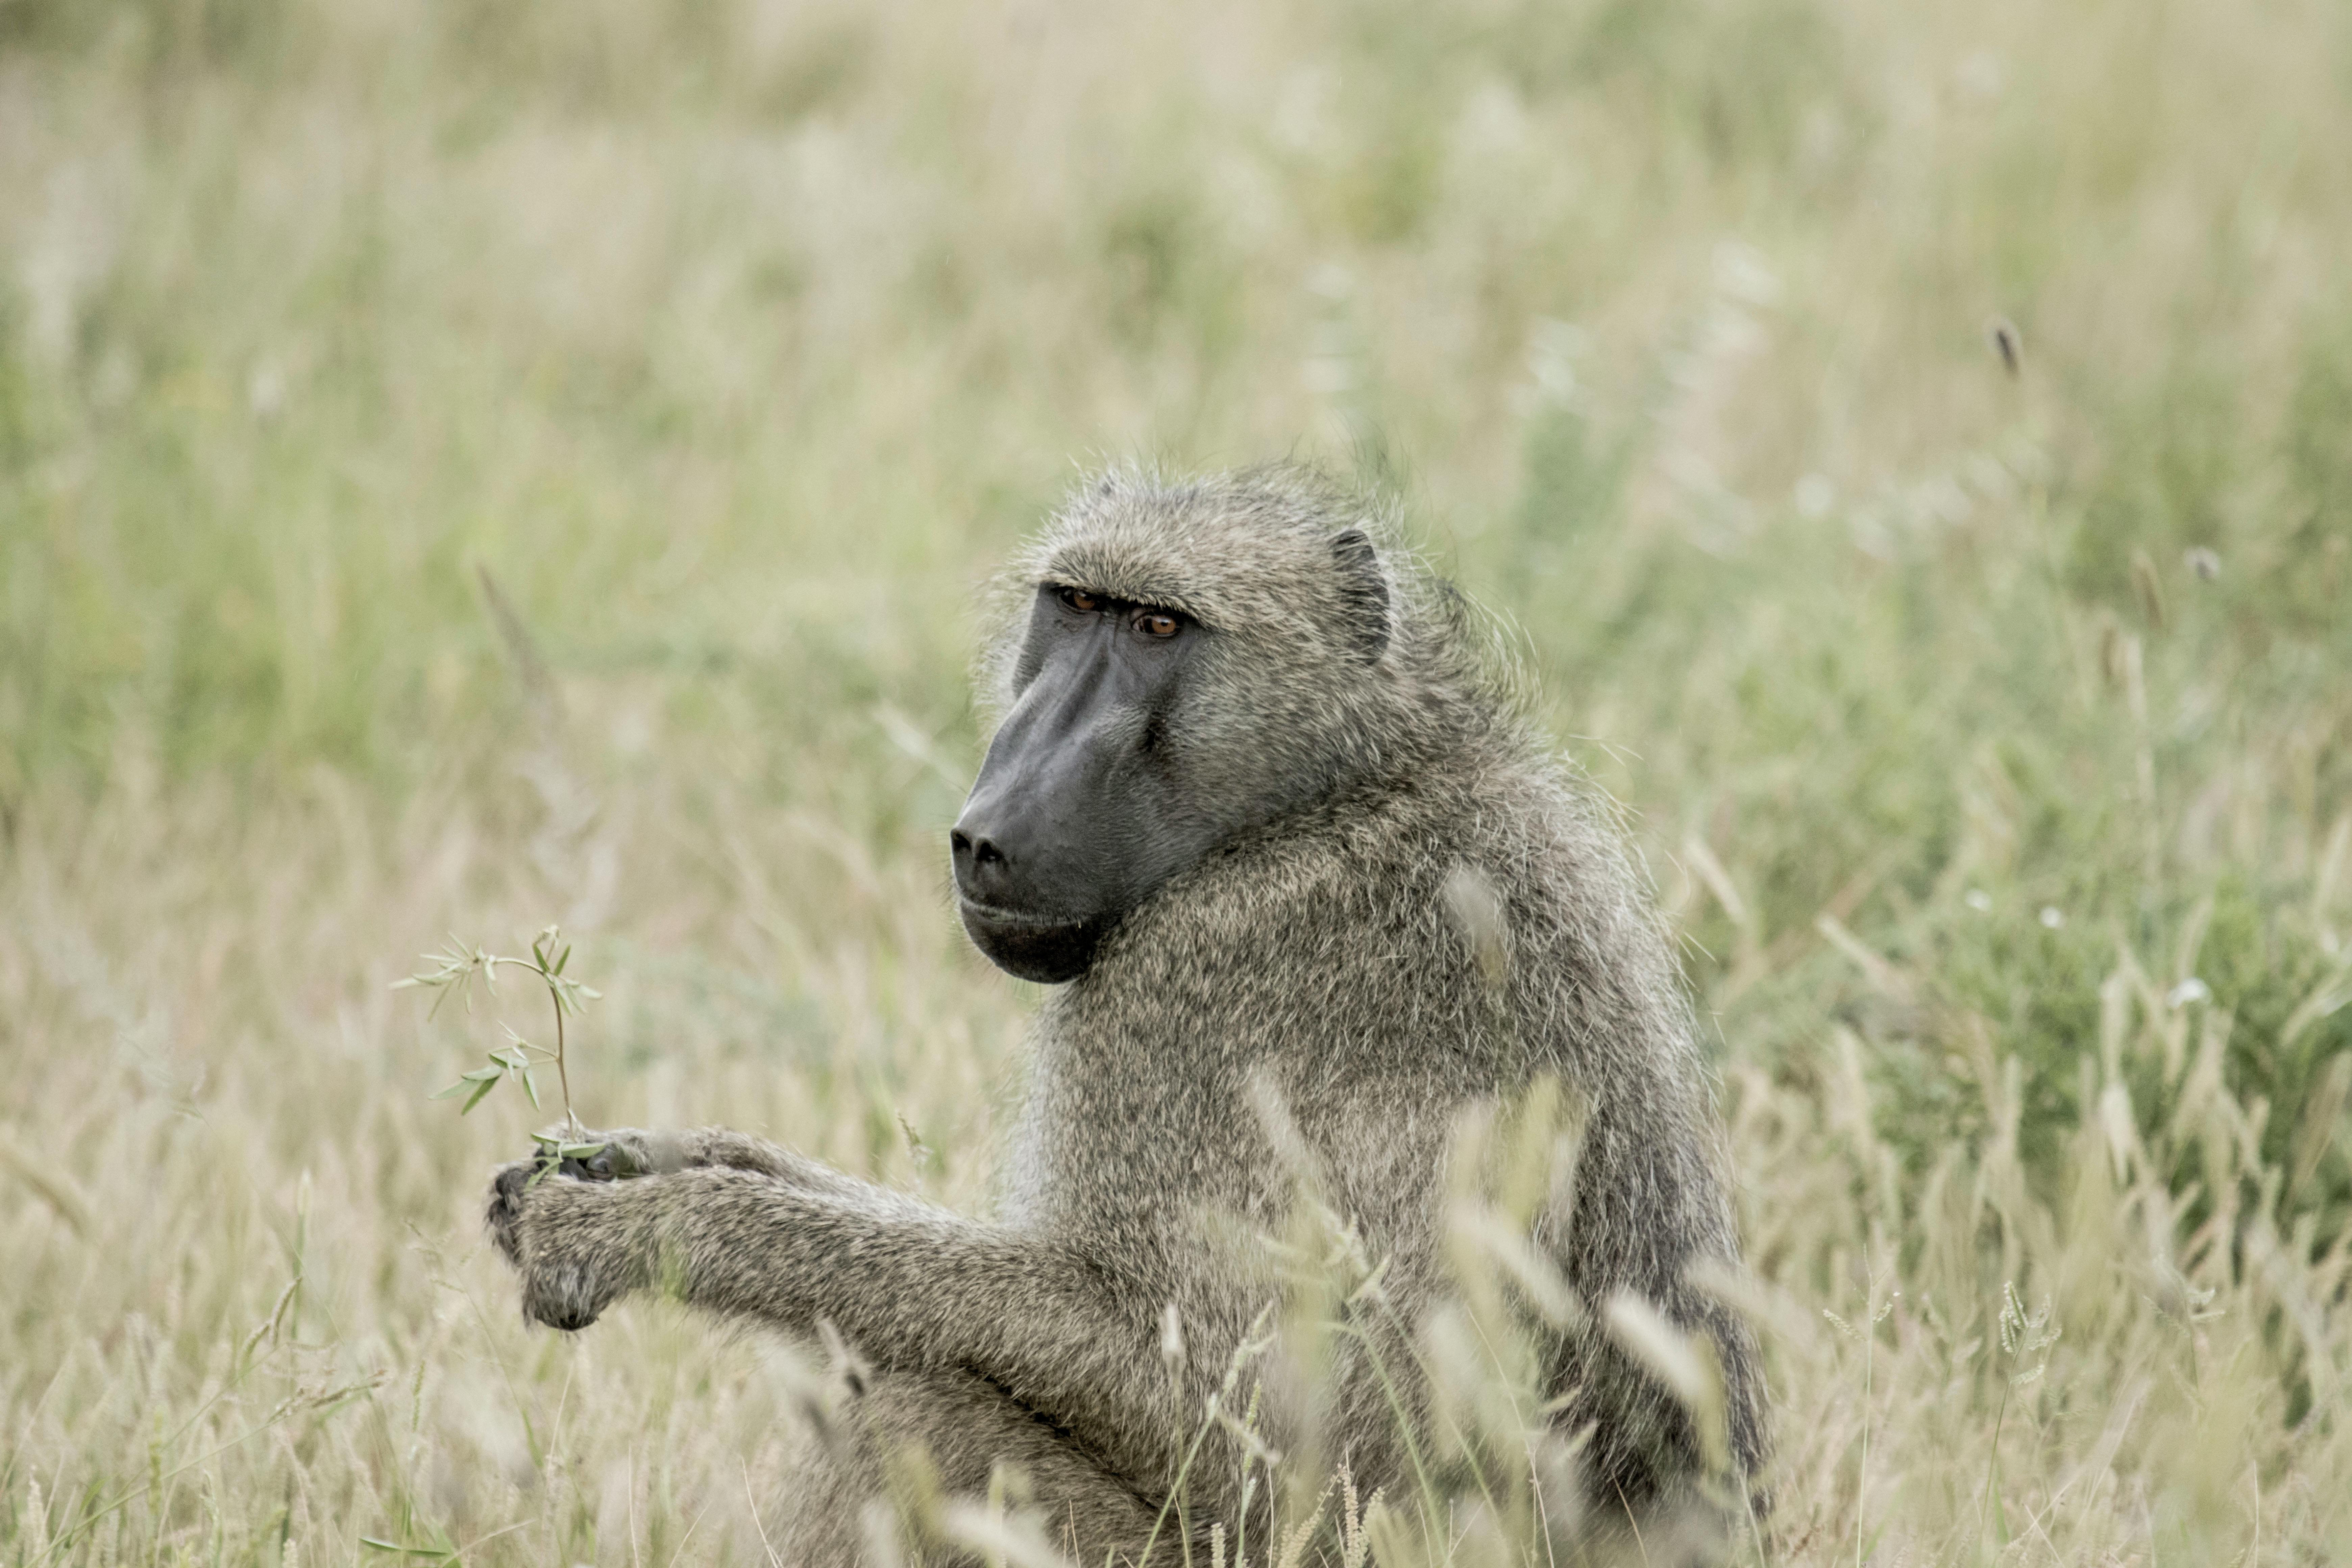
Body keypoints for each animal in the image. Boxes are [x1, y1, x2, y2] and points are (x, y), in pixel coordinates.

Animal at [485, 463, 1767, 1563]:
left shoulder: (1195, 978)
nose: (988, 826)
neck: (1336, 788)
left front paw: (644, 1230)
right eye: (1074, 607)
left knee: (914, 1421)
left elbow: (1230, 1415)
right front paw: (633, 1162)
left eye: (1158, 630)